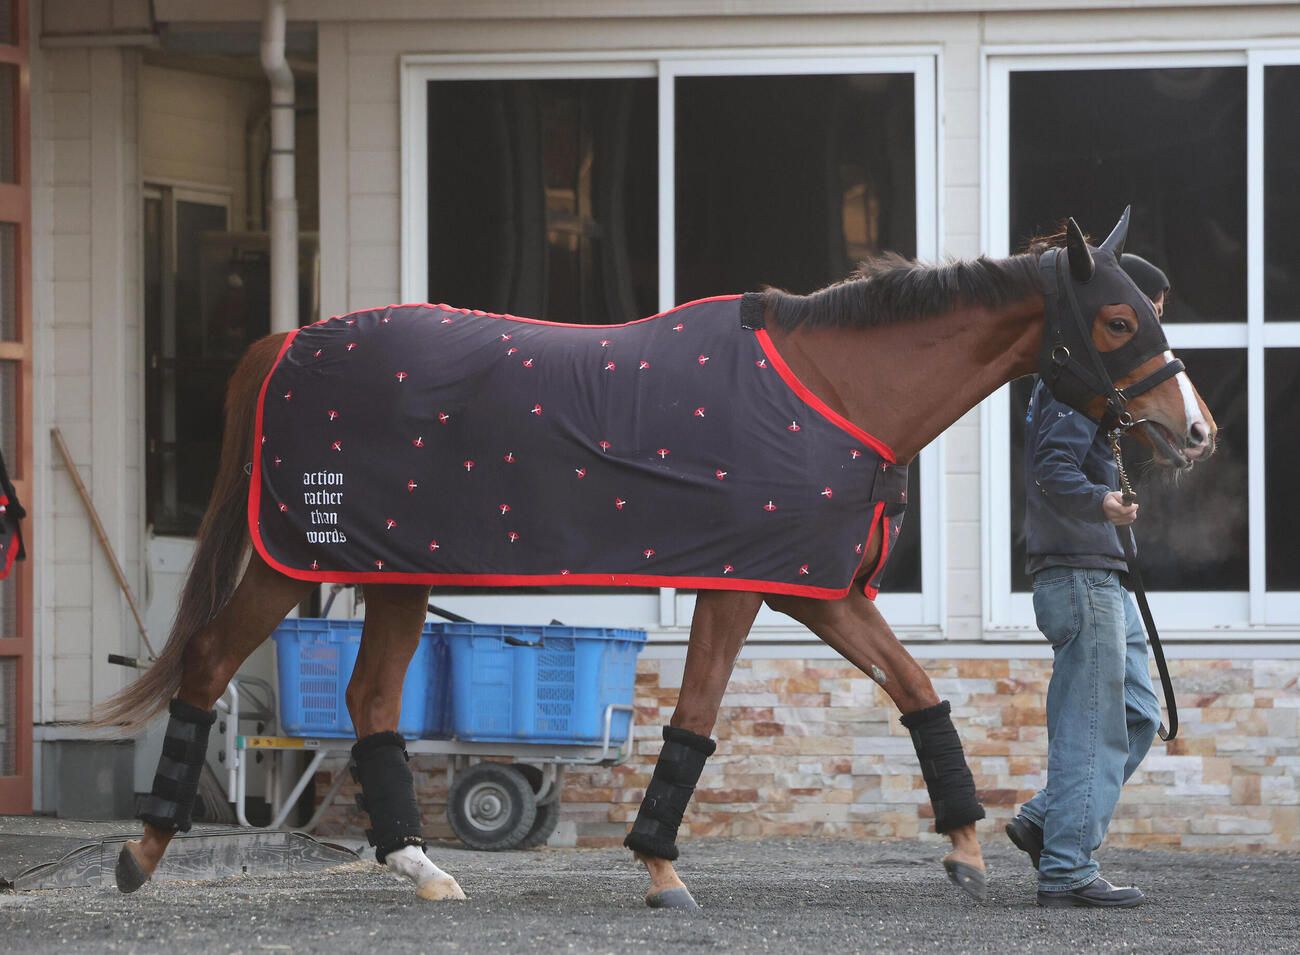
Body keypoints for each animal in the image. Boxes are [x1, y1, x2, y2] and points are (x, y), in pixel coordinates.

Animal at [94, 209, 1214, 909]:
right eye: (1118, 317)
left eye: (1154, 309)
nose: (1195, 430)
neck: (829, 393)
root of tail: (283, 344)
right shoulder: (740, 586)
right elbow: (697, 717)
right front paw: (661, 869)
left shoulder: (812, 589)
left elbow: (918, 689)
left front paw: (969, 846)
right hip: (293, 563)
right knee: (209, 663)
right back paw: (139, 853)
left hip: (395, 572)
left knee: (371, 699)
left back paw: (421, 868)